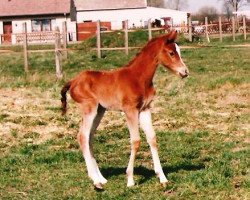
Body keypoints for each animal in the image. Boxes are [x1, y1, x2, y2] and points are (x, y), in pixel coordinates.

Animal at [61, 30, 189, 189]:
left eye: (179, 51)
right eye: (171, 53)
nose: (185, 72)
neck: (139, 78)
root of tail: (73, 81)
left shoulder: (145, 109)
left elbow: (152, 138)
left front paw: (162, 178)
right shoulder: (130, 110)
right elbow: (135, 140)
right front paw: (130, 179)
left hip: (99, 111)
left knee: (89, 137)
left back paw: (101, 178)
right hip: (89, 108)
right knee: (82, 136)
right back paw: (96, 181)